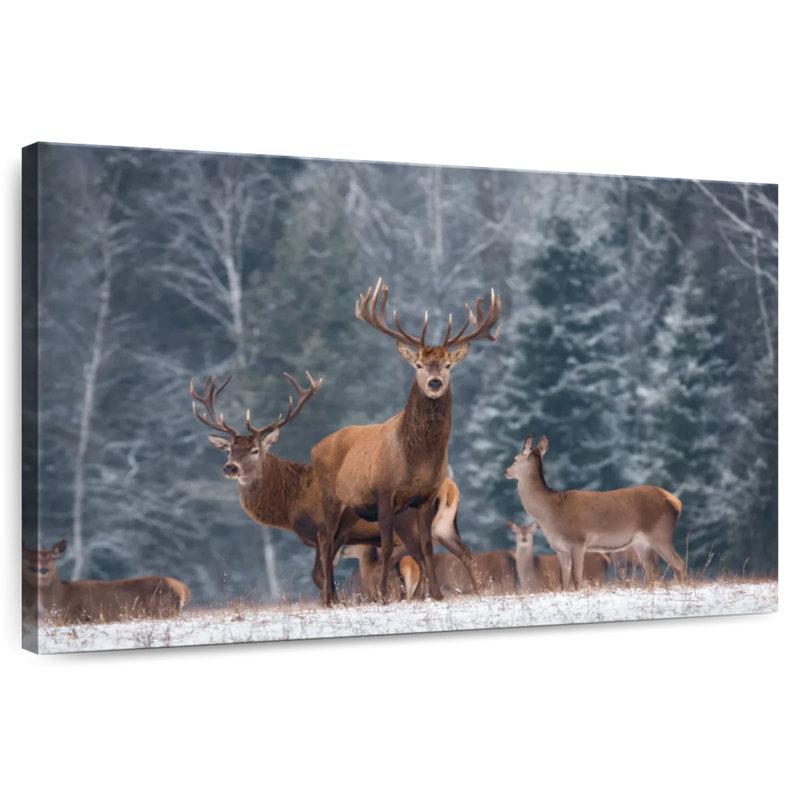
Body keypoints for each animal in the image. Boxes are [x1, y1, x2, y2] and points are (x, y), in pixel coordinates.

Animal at [22, 540, 190, 624]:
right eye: (31, 558)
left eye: (54, 557)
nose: (42, 570)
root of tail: (183, 588)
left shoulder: (78, 618)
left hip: (163, 610)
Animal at [191, 372, 479, 602]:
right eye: (229, 450)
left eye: (254, 450)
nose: (230, 468)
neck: (291, 504)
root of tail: (451, 487)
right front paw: (333, 598)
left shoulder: (327, 530)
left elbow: (320, 572)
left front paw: (332, 599)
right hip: (443, 526)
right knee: (460, 553)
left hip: (410, 522)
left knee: (424, 554)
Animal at [311, 278, 501, 604]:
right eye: (419, 366)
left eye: (448, 365)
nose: (435, 383)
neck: (416, 460)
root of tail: (315, 447)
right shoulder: (385, 493)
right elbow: (387, 546)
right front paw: (383, 595)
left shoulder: (425, 498)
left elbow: (426, 547)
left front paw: (435, 594)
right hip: (331, 496)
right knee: (325, 539)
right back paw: (328, 598)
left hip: (353, 510)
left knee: (332, 540)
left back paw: (332, 595)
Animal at [505, 435, 686, 590]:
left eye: (515, 459)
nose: (506, 471)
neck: (549, 512)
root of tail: (677, 503)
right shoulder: (560, 548)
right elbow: (564, 583)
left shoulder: (577, 541)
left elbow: (577, 580)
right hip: (641, 542)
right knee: (652, 570)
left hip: (659, 533)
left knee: (679, 563)